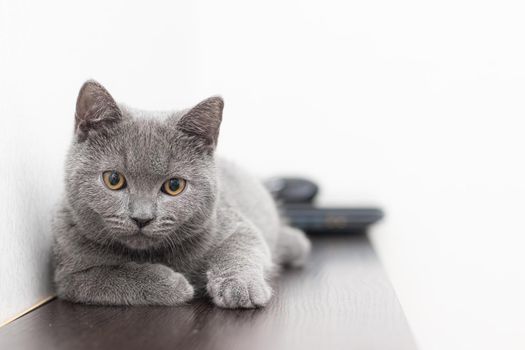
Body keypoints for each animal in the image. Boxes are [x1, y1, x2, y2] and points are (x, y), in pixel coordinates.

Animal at [51, 80, 310, 308]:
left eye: (174, 185)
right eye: (113, 180)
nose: (142, 218)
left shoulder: (235, 225)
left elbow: (241, 248)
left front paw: (240, 286)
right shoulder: (68, 277)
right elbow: (106, 277)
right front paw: (174, 284)